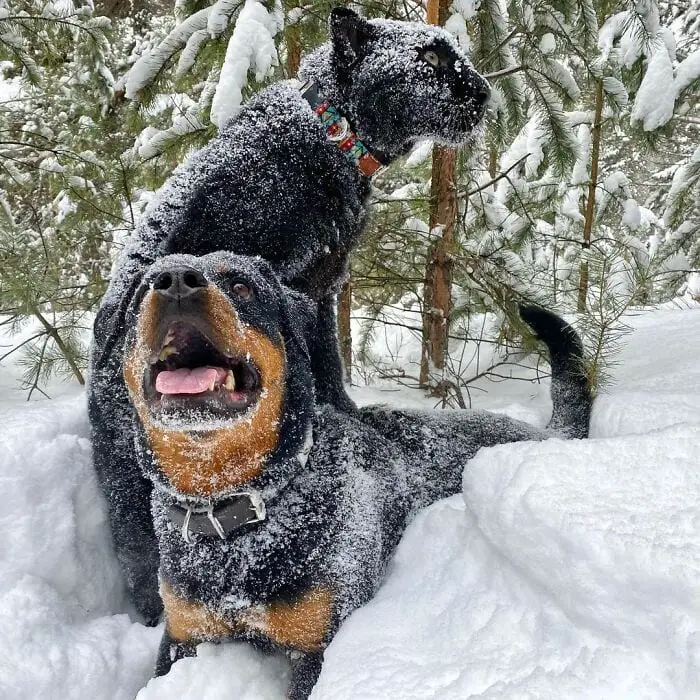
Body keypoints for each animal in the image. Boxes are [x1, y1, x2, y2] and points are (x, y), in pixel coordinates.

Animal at [90, 8, 490, 624]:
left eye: (454, 52)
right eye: (430, 57)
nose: (485, 93)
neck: (328, 134)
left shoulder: (323, 290)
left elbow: (329, 375)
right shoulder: (298, 284)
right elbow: (322, 369)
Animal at [121, 254, 592, 696]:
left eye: (241, 286)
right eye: (145, 289)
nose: (176, 282)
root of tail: (545, 433)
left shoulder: (317, 642)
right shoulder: (182, 635)